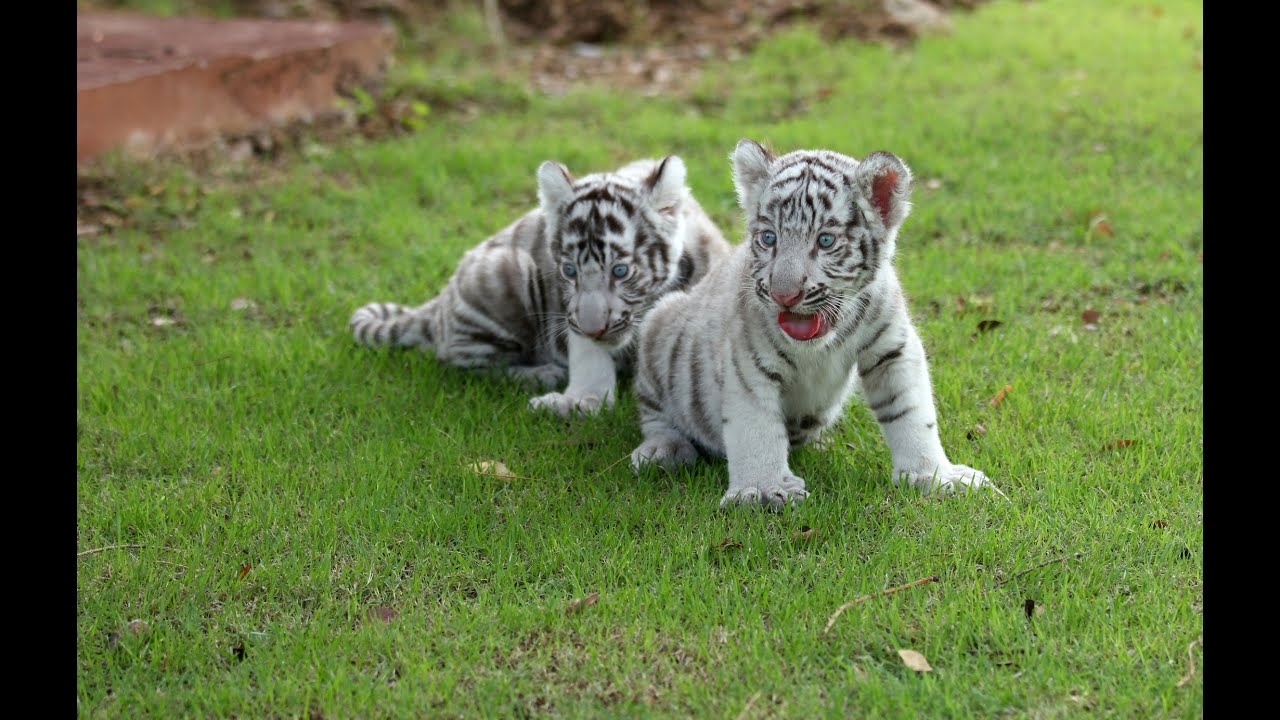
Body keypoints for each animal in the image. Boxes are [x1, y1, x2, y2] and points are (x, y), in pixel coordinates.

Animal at [349, 156, 732, 417]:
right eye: (568, 270)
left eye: (621, 271)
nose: (594, 329)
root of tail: (439, 300)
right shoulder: (570, 313)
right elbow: (588, 358)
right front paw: (581, 400)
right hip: (505, 270)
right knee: (463, 361)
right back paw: (542, 374)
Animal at [628, 139, 994, 509]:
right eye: (769, 238)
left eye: (825, 241)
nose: (784, 295)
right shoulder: (748, 363)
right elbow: (755, 427)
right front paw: (762, 490)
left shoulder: (893, 348)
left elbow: (911, 411)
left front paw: (935, 475)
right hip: (657, 330)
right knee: (654, 413)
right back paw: (664, 450)